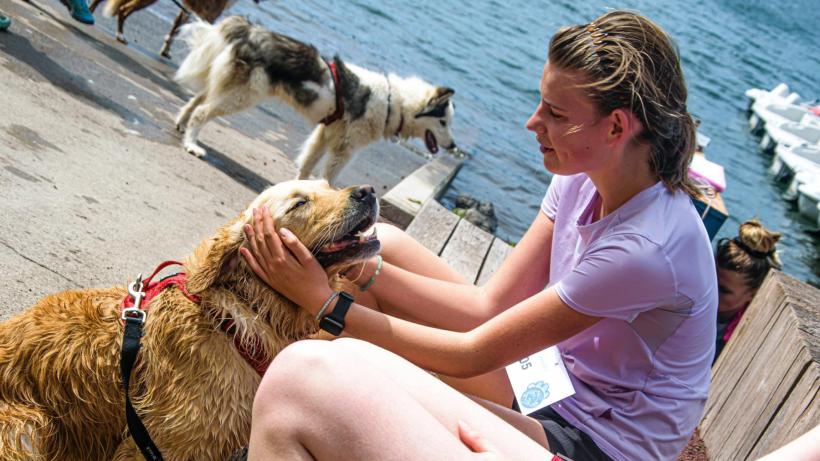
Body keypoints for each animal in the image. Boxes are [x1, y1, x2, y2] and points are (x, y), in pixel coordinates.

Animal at [0, 180, 380, 460]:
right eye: (300, 203)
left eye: (328, 185)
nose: (367, 191)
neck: (241, 312)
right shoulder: (161, 441)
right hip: (28, 424)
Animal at [174, 16, 458, 181]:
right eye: (443, 122)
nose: (454, 146)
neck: (393, 104)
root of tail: (250, 29)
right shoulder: (344, 148)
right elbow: (328, 177)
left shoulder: (325, 135)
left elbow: (306, 166)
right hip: (244, 95)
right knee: (202, 111)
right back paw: (192, 145)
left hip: (230, 87)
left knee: (197, 100)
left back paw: (180, 126)